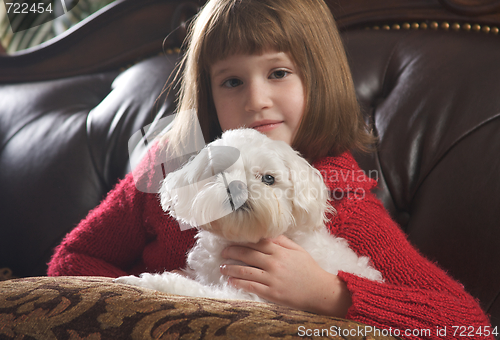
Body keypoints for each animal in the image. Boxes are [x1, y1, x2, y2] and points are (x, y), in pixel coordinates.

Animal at [114, 129, 382, 302]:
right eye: (219, 172)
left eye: (268, 179)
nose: (236, 185)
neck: (242, 239)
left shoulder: (248, 293)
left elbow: (186, 287)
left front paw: (141, 281)